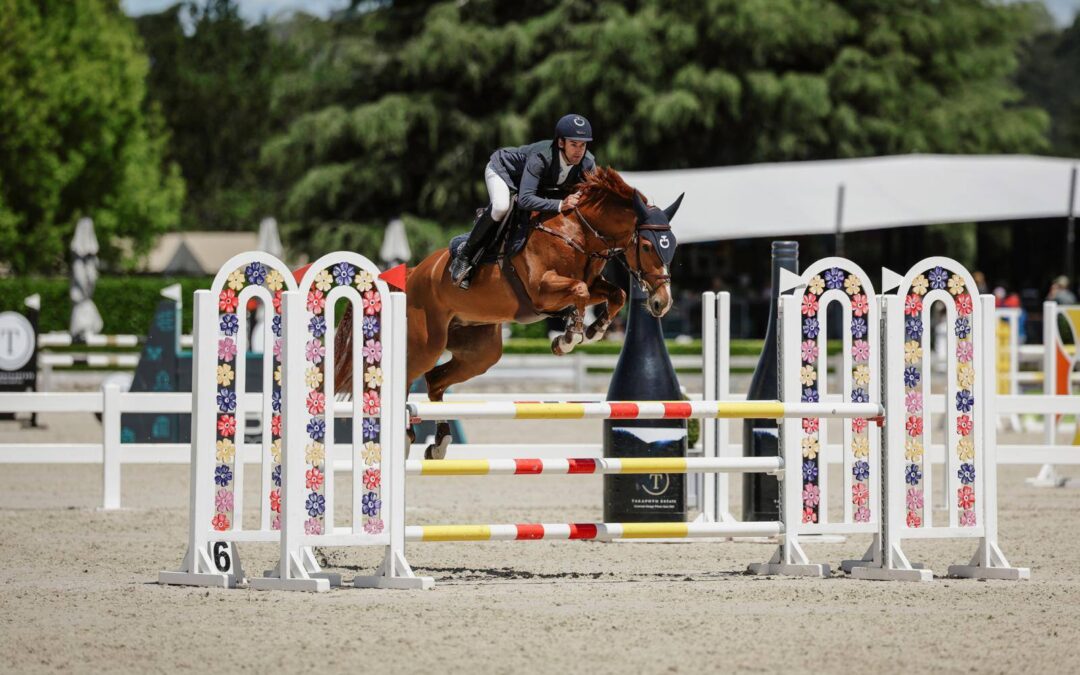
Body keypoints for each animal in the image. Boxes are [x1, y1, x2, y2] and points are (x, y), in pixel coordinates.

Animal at [333, 166, 683, 457]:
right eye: (648, 246)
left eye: (673, 246)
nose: (661, 303)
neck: (579, 231)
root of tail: (413, 273)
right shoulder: (542, 290)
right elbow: (581, 293)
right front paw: (569, 337)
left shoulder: (591, 282)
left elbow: (616, 294)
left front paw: (593, 330)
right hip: (426, 344)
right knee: (407, 375)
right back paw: (406, 435)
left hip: (481, 351)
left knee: (434, 380)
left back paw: (440, 442)